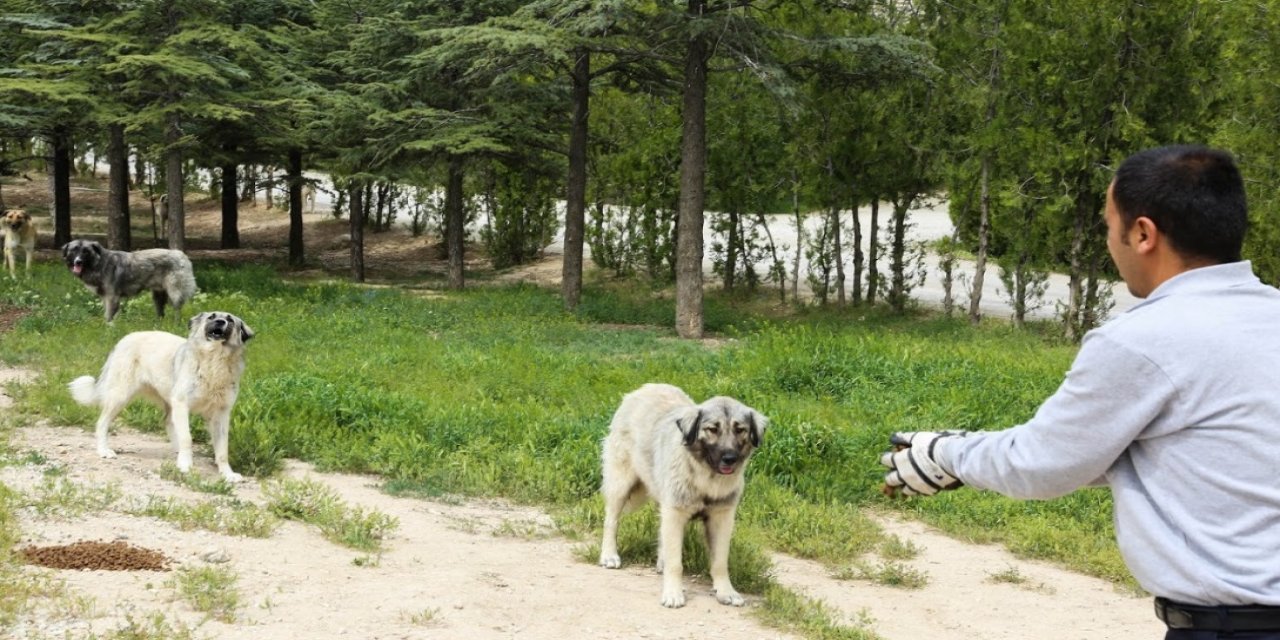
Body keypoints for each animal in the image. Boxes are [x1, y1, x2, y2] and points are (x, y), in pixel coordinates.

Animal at [62, 239, 195, 322]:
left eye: (85, 251)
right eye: (74, 250)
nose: (78, 262)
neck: (99, 263)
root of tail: (181, 254)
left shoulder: (111, 297)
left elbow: (109, 317)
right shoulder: (106, 298)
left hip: (175, 293)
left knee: (177, 310)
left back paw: (175, 325)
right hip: (158, 296)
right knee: (161, 313)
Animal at [68, 309, 257, 481]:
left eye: (230, 320)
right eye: (212, 317)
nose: (220, 322)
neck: (214, 361)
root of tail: (125, 338)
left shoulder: (221, 414)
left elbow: (222, 449)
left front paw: (227, 474)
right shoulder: (182, 404)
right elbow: (187, 438)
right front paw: (185, 465)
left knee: (167, 422)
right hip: (120, 397)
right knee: (101, 423)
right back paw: (104, 451)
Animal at [601, 381, 768, 606]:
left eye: (740, 429)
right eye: (712, 429)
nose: (729, 458)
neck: (706, 478)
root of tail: (645, 388)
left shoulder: (721, 518)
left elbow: (720, 562)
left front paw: (726, 591)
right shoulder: (675, 512)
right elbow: (676, 563)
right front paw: (673, 593)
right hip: (621, 483)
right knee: (611, 521)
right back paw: (609, 555)